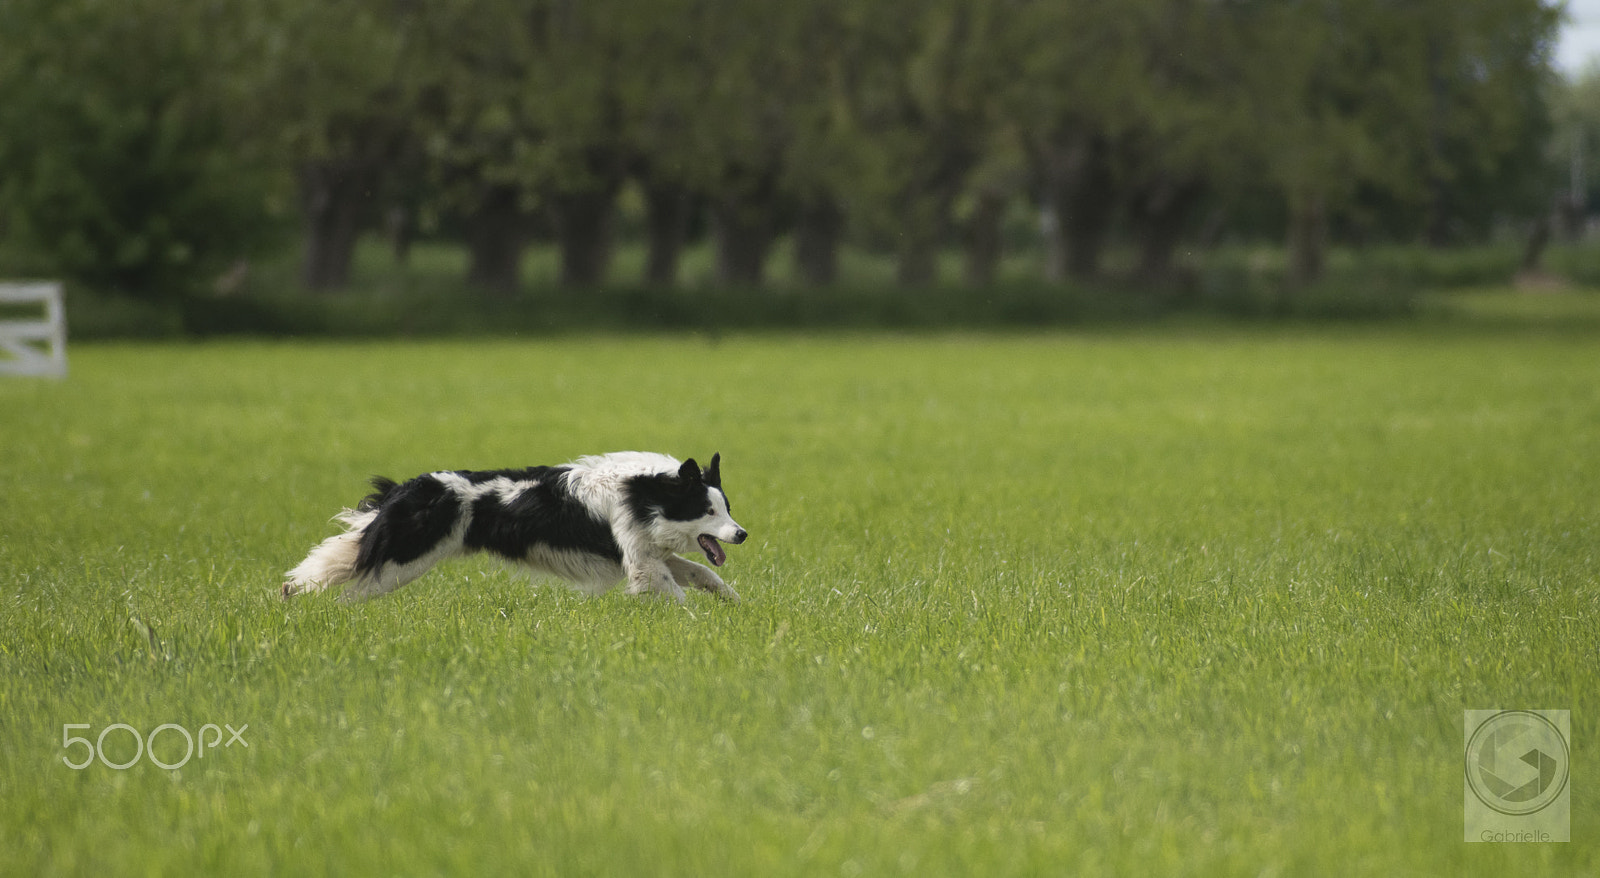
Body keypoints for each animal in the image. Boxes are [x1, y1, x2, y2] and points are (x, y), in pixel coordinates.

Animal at [284, 450, 745, 601]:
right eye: (708, 511)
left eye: (726, 508)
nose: (742, 533)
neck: (648, 492)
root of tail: (409, 487)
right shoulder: (640, 561)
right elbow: (674, 593)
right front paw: (698, 624)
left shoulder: (648, 551)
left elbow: (701, 573)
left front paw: (735, 604)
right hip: (405, 558)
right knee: (348, 587)